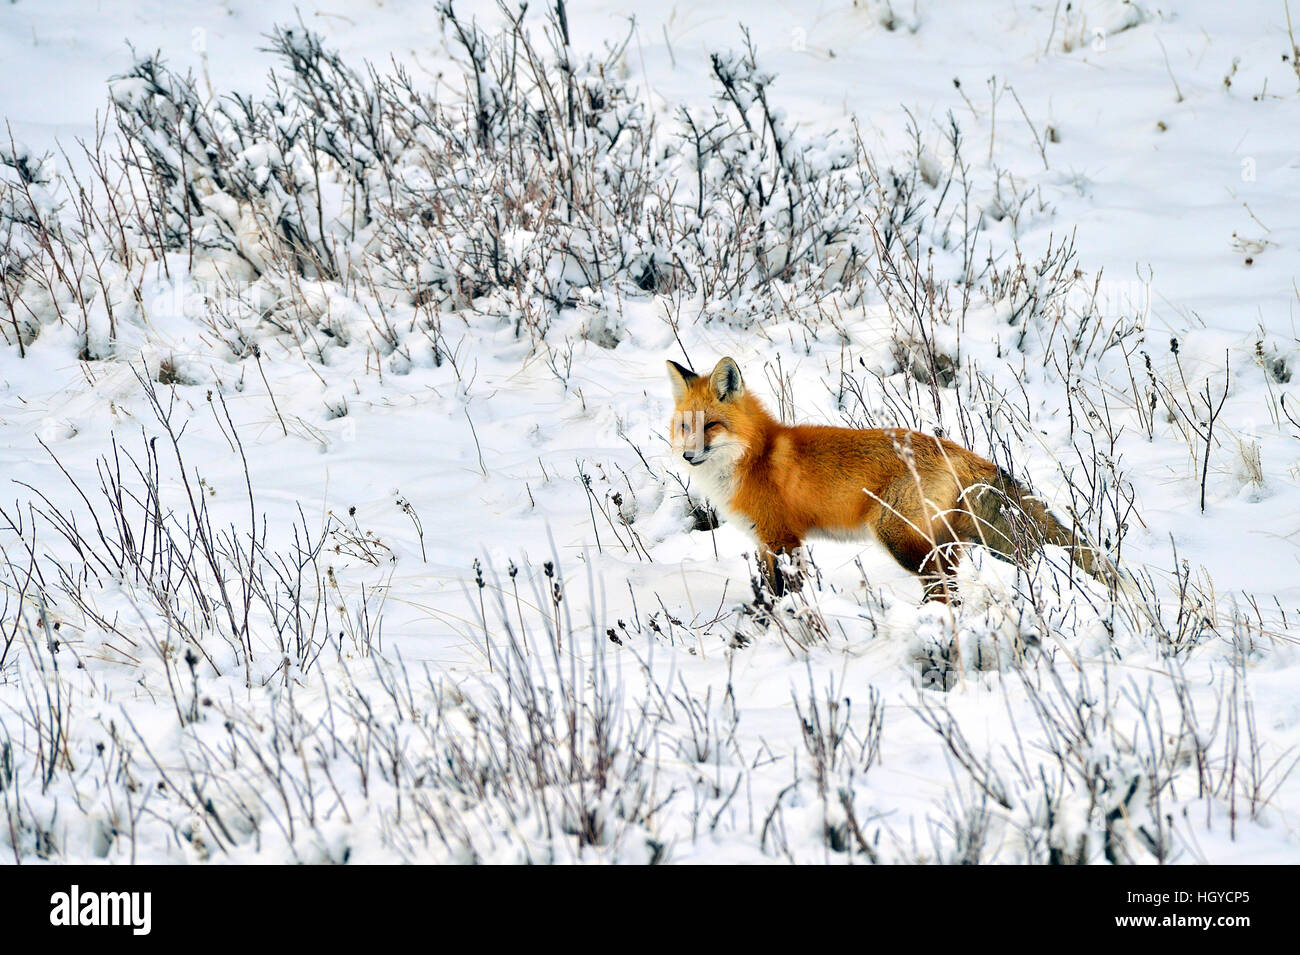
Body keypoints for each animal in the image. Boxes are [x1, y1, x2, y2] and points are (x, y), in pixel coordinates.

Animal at [665, 356, 1112, 600]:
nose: (687, 456)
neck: (754, 456)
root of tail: (953, 448)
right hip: (939, 540)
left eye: (711, 426)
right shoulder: (764, 542)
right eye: (686, 426)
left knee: (942, 585)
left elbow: (784, 594)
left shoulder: (782, 539)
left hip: (897, 536)